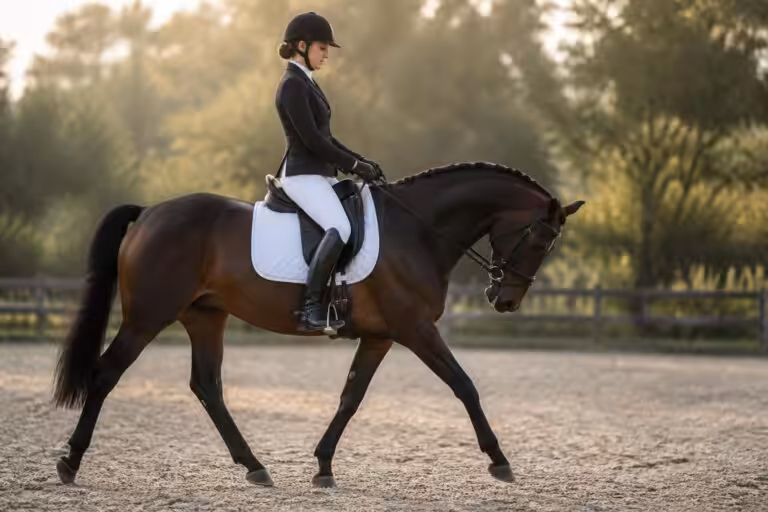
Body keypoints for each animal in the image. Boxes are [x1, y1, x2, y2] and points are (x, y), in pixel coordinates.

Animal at [52, 161, 583, 488]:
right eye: (540, 240)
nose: (505, 300)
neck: (418, 230)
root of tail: (148, 213)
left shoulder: (381, 336)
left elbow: (351, 396)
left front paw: (324, 465)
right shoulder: (415, 330)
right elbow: (464, 384)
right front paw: (499, 459)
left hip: (205, 316)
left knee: (207, 386)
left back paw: (255, 467)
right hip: (148, 316)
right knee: (106, 374)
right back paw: (70, 462)